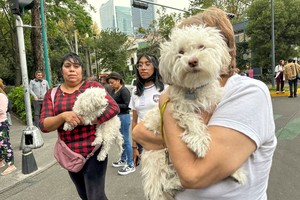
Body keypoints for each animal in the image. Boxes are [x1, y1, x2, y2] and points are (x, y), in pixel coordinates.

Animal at [141, 25, 246, 200]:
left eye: (201, 46)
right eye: (181, 52)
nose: (192, 61)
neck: (195, 88)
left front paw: (237, 171)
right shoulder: (178, 107)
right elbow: (192, 120)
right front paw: (199, 142)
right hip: (158, 157)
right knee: (165, 183)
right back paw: (175, 182)